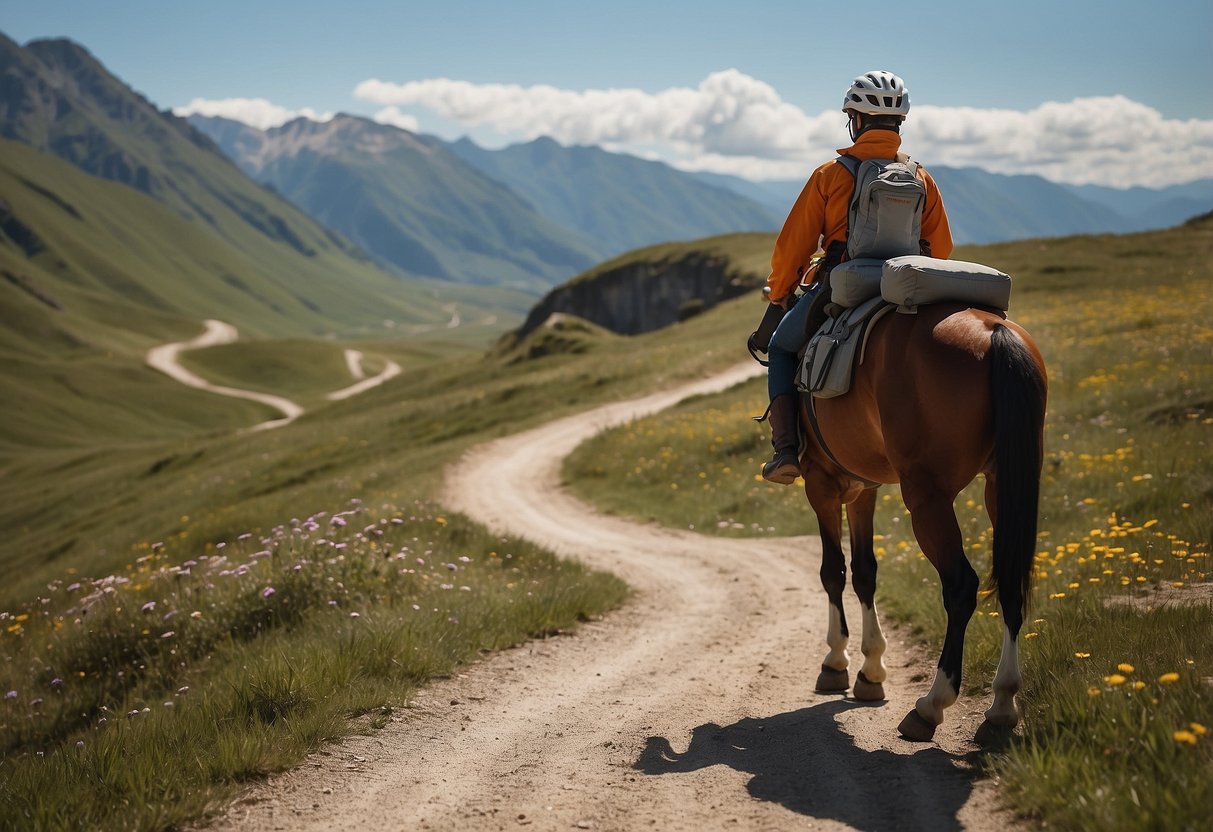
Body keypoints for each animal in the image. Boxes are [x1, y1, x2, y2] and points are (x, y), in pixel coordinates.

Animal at [795, 301, 1043, 742]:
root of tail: (992, 331)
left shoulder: (820, 484)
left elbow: (832, 571)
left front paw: (836, 661)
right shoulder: (863, 489)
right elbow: (864, 571)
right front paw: (871, 670)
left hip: (927, 498)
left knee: (961, 587)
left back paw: (931, 706)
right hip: (1003, 484)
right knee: (1011, 582)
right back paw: (1001, 705)